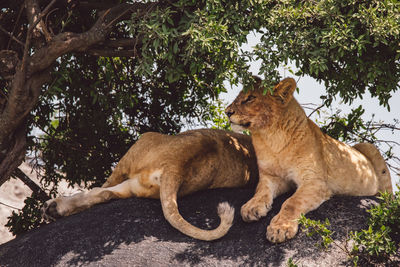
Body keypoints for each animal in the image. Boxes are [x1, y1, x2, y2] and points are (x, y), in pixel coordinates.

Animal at [41, 129, 260, 242]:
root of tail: (177, 166)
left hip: (141, 143)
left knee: (102, 188)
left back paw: (53, 207)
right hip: (137, 184)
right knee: (104, 194)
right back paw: (54, 209)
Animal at [227, 77, 392, 245]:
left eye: (251, 98)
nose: (227, 112)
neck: (271, 138)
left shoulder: (315, 181)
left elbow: (291, 203)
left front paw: (280, 229)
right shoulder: (272, 177)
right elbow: (261, 190)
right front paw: (252, 207)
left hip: (369, 149)